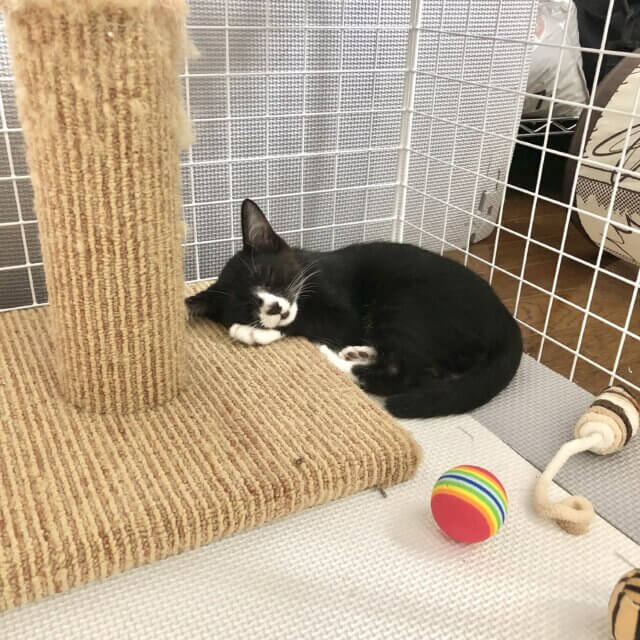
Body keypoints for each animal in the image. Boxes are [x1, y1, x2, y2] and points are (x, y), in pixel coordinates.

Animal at [186, 199, 523, 419]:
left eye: (269, 275)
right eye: (246, 305)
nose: (274, 308)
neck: (306, 270)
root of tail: (507, 323)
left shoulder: (339, 310)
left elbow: (308, 320)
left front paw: (251, 333)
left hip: (409, 301)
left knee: (404, 373)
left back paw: (332, 358)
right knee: (423, 368)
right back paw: (358, 352)